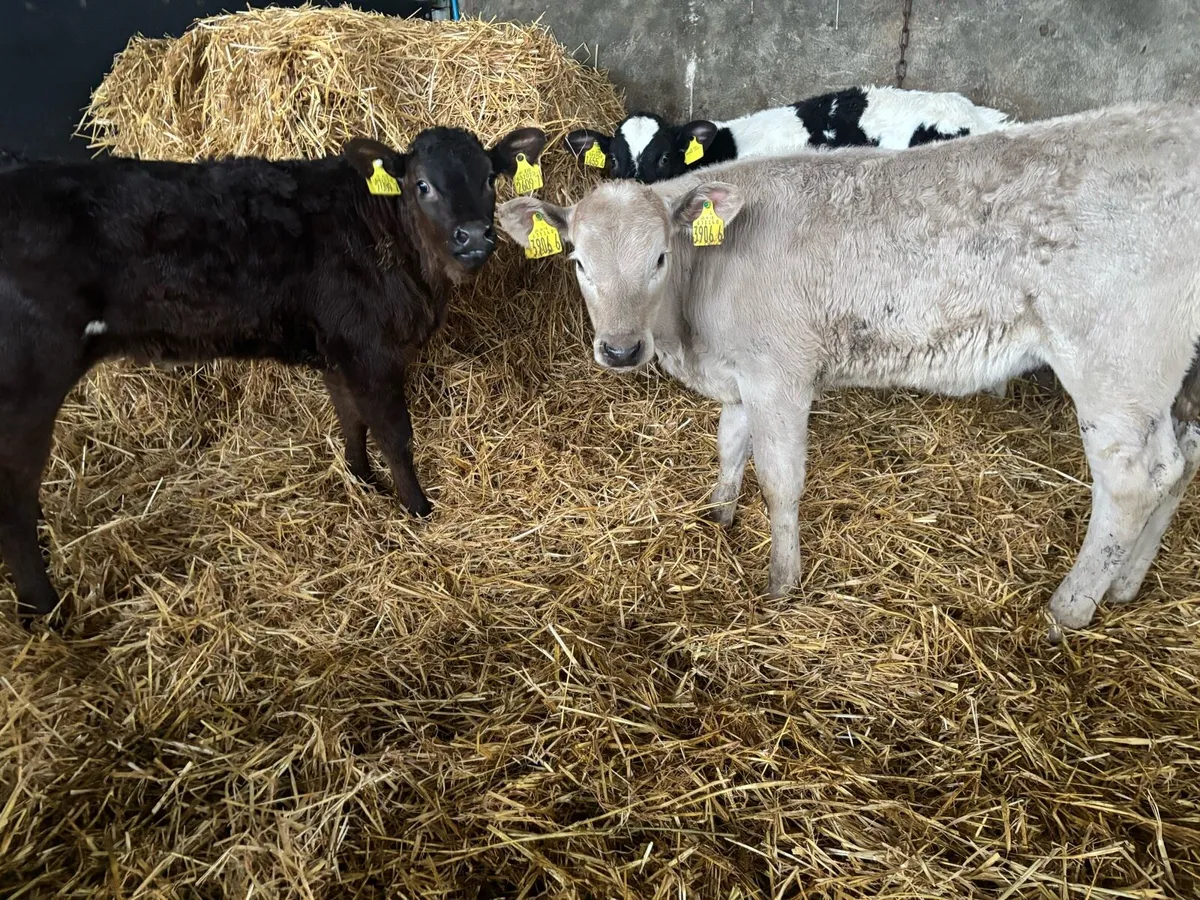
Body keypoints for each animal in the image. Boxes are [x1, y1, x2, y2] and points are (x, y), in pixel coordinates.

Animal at [0, 124, 547, 624]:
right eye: (422, 185)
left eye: (490, 178)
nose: (473, 236)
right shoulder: (371, 351)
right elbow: (395, 435)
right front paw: (418, 509)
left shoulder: (339, 348)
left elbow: (351, 419)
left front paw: (362, 480)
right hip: (29, 384)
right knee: (15, 498)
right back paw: (45, 612)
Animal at [500, 102, 1200, 636]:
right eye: (578, 261)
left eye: (660, 257)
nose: (620, 350)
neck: (691, 322)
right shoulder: (740, 376)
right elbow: (729, 444)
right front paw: (718, 515)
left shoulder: (780, 375)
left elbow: (780, 480)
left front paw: (781, 581)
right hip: (1167, 379)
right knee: (1177, 463)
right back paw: (1124, 585)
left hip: (1114, 365)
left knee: (1132, 482)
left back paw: (1069, 608)